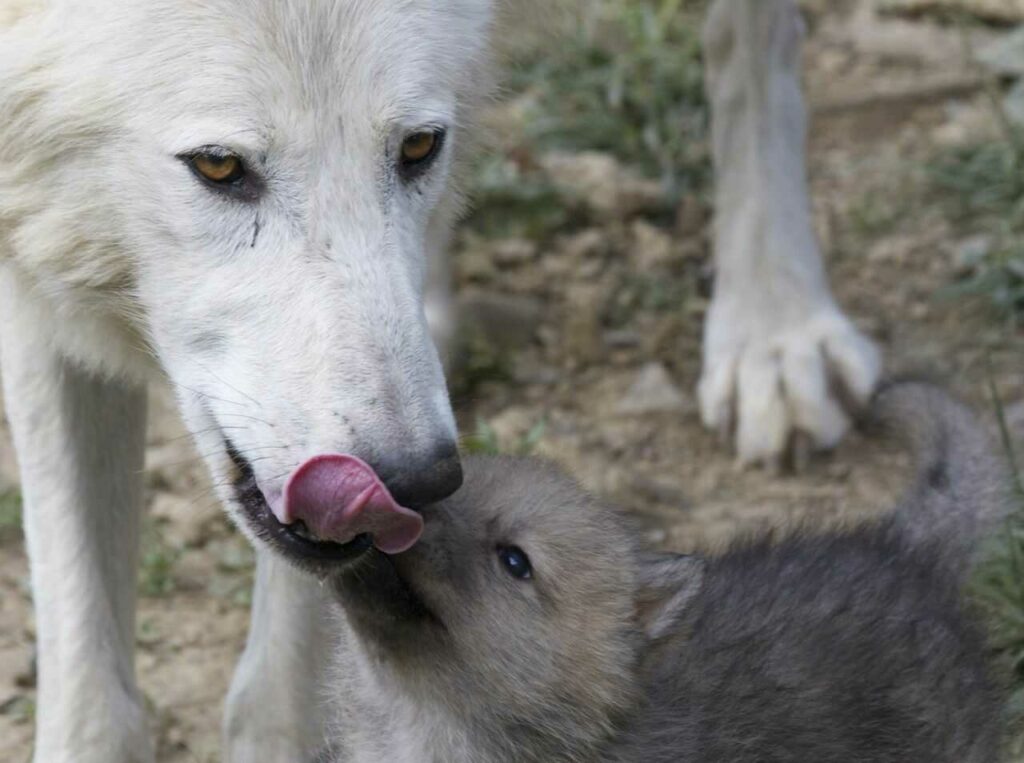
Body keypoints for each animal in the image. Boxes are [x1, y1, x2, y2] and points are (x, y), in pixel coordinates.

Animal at [0, 1, 880, 761]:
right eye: (219, 165)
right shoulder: (29, 274)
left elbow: (277, 690)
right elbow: (90, 691)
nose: (416, 478)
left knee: (753, 39)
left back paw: (774, 325)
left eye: (419, 147)